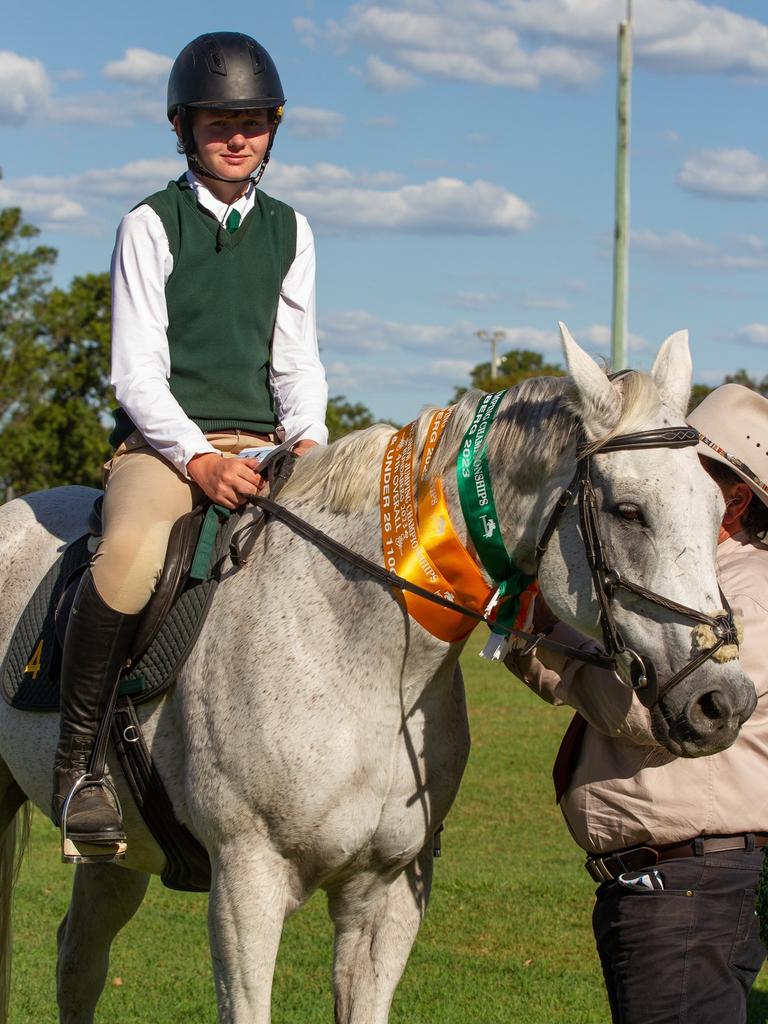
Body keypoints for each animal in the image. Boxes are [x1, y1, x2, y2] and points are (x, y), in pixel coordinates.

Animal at [0, 329, 757, 1024]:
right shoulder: (247, 882)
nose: (724, 702)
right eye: (629, 512)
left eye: (717, 510)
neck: (361, 657)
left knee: (78, 962)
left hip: (116, 857)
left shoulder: (387, 892)